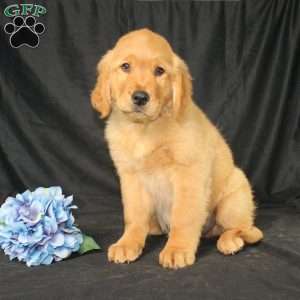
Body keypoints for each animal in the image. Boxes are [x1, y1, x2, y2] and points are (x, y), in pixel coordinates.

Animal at [91, 28, 262, 268]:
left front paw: (177, 249)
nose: (140, 98)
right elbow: (133, 216)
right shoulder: (131, 177)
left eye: (159, 71)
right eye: (125, 66)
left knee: (247, 229)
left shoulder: (189, 173)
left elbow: (184, 216)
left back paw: (230, 241)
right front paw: (128, 243)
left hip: (233, 200)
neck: (144, 129)